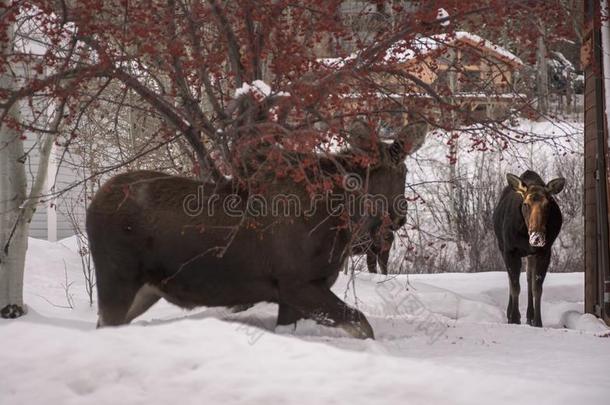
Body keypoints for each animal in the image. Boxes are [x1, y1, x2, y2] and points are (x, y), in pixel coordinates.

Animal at [88, 119, 426, 338]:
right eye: (382, 172)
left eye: (405, 170)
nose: (398, 217)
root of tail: (93, 204)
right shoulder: (295, 284)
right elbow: (363, 326)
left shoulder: (294, 295)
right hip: (117, 279)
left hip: (145, 289)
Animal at [492, 170, 564, 326]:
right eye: (526, 204)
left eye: (548, 204)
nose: (537, 236)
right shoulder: (510, 251)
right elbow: (515, 286)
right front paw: (514, 318)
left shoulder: (544, 252)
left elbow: (537, 288)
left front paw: (538, 321)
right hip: (503, 247)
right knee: (511, 279)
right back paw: (510, 313)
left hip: (531, 255)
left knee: (529, 278)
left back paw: (530, 315)